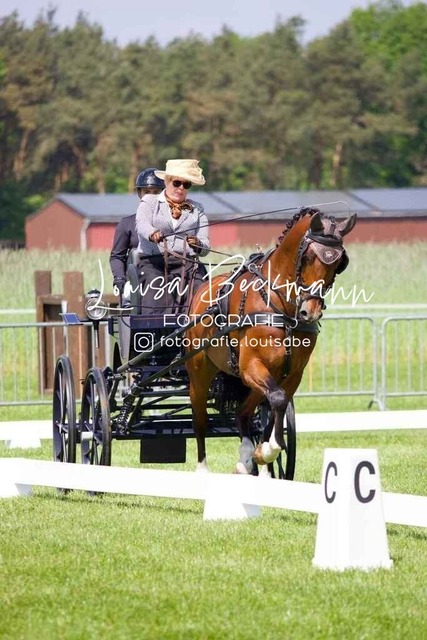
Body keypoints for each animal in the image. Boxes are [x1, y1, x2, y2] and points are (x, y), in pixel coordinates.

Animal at [185, 207, 357, 475]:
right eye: (308, 257)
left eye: (340, 263)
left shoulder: (291, 374)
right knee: (200, 418)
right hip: (199, 372)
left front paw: (263, 454)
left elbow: (277, 406)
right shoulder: (250, 366)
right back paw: (203, 469)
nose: (310, 312)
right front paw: (266, 451)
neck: (281, 307)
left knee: (243, 413)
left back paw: (246, 460)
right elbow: (276, 399)